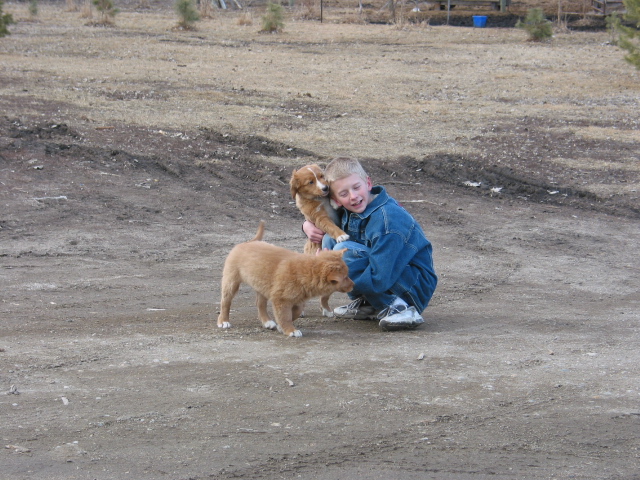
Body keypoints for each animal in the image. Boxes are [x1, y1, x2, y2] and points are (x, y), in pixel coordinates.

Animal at [216, 221, 356, 338]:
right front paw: (290, 330)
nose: (354, 285)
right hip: (231, 281)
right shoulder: (281, 300)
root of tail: (248, 242)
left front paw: (280, 326)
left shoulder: (297, 298)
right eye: (345, 277)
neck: (305, 271)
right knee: (225, 302)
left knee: (260, 304)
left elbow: (296, 313)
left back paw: (267, 322)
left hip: (262, 286)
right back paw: (223, 321)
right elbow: (285, 316)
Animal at [290, 163, 350, 316]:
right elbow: (331, 226)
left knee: (324, 296)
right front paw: (341, 235)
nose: (325, 188)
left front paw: (334, 201)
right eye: (310, 182)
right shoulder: (320, 218)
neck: (318, 199)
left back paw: (327, 311)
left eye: (322, 176)